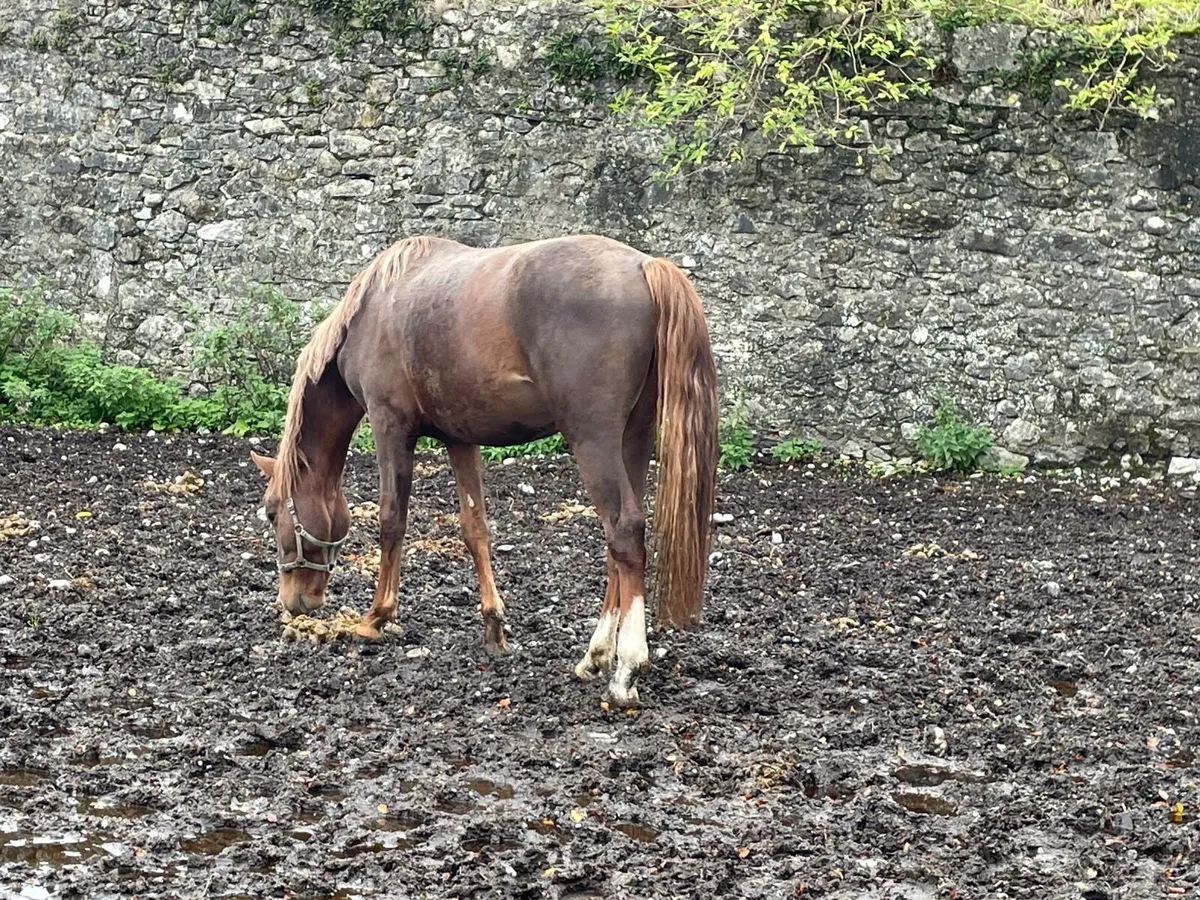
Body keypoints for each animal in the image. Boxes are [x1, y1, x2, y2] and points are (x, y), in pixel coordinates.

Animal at [249, 233, 719, 707]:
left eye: (272, 513)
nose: (293, 601)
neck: (374, 306)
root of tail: (644, 266)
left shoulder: (389, 426)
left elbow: (391, 520)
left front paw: (376, 618)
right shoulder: (460, 439)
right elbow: (474, 528)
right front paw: (494, 627)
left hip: (594, 440)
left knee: (624, 531)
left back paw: (626, 668)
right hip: (632, 439)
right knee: (619, 543)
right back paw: (596, 654)